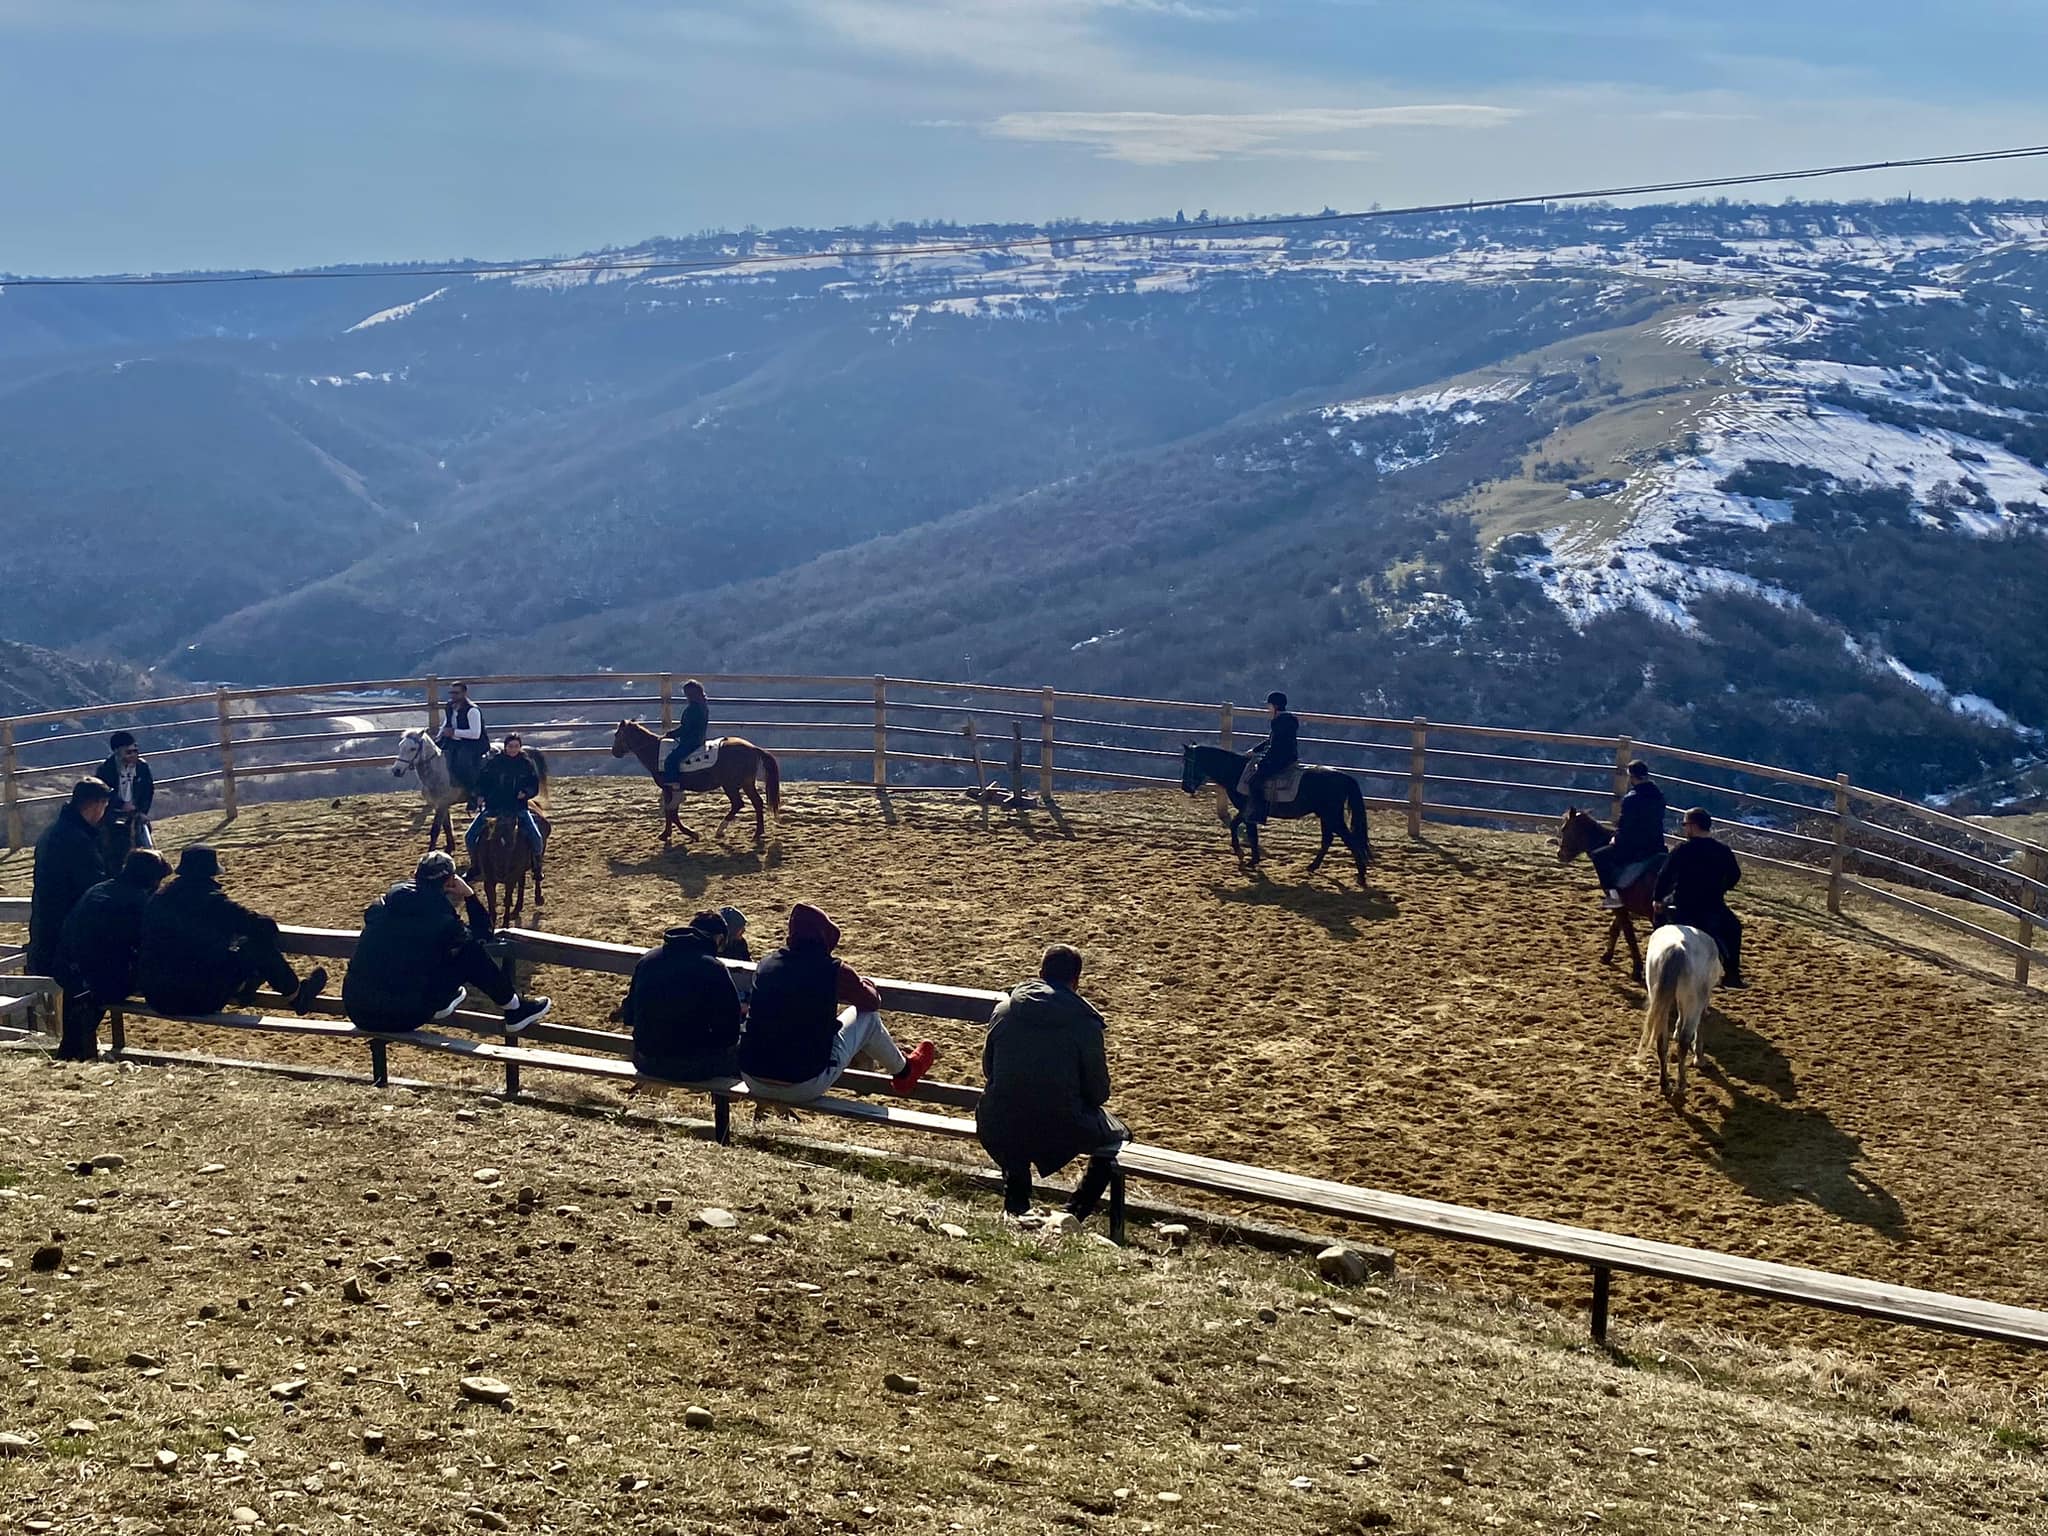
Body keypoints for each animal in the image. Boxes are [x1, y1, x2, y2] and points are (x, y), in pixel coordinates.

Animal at [606, 724, 782, 847]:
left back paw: (720, 830)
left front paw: (690, 834)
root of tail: (753, 748)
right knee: (757, 803)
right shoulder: (670, 789)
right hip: (746, 783)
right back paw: (757, 833)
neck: (656, 753)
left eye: (617, 734)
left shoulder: (670, 788)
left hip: (730, 785)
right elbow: (670, 812)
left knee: (738, 804)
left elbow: (672, 813)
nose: (614, 752)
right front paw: (666, 834)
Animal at [1187, 749, 1376, 888]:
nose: (1186, 787)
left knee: (1351, 841)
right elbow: (1243, 830)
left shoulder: (1248, 810)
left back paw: (1361, 876)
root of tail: (1344, 777)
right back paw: (1313, 866)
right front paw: (1249, 858)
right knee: (1328, 840)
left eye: (1190, 762)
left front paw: (1246, 857)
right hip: (1326, 816)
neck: (1237, 772)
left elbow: (1244, 830)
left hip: (1332, 817)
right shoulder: (1246, 812)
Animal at [1548, 811, 1662, 978]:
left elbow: (1628, 934)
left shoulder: (1619, 906)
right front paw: (1607, 956)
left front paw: (1636, 969)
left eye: (1564, 829)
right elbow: (1615, 929)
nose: (1560, 854)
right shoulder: (1623, 907)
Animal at [1638, 925, 1720, 1105]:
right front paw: (1699, 1058)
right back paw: (1681, 1085)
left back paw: (1665, 1085)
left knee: (1661, 1043)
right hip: (1693, 1001)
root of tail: (1677, 948)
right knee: (1683, 1042)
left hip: (1660, 1001)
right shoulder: (1701, 1001)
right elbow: (1700, 1024)